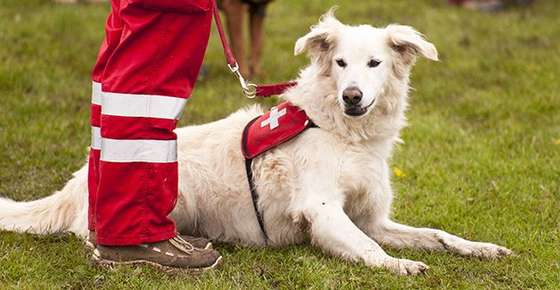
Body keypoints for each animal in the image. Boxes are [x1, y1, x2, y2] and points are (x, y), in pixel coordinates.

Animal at [0, 11, 512, 274]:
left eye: (374, 64)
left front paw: (481, 248)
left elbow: (437, 235)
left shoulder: (373, 218)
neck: (344, 133)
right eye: (341, 63)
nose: (351, 96)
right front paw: (399, 265)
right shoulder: (324, 212)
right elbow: (368, 249)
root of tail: (75, 183)